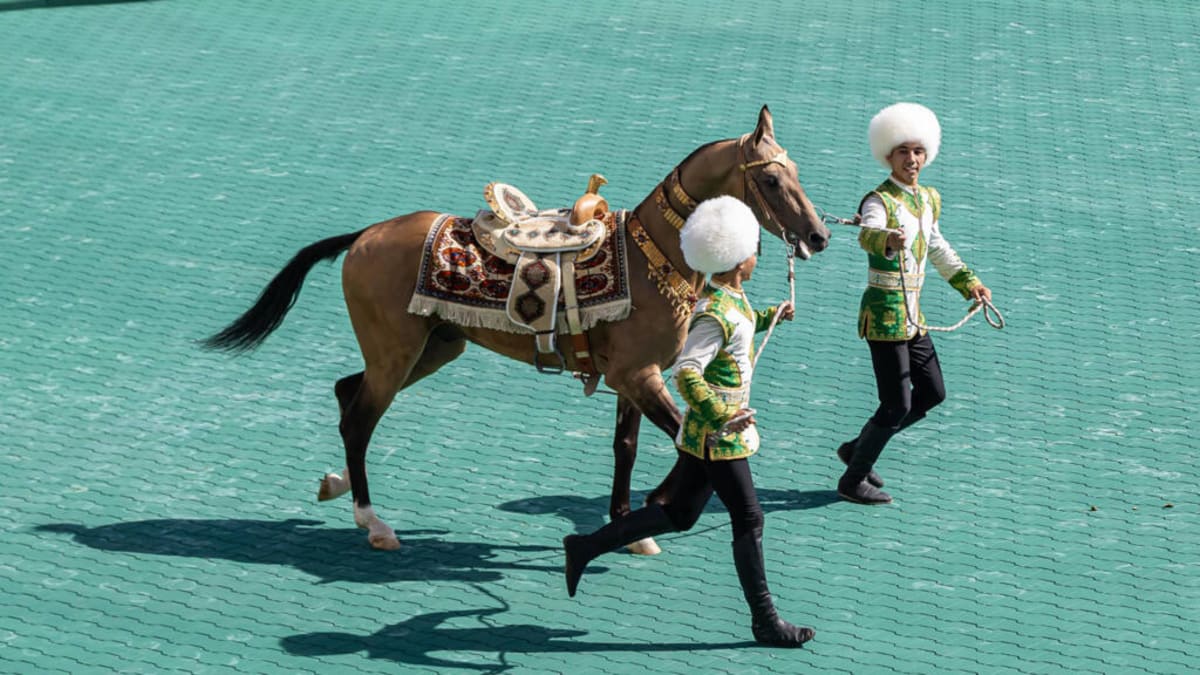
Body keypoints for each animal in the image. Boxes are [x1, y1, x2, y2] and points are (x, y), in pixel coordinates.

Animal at [203, 106, 830, 551]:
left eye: (796, 173)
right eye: (772, 182)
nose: (819, 235)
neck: (648, 256)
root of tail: (363, 236)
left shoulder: (632, 377)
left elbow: (626, 448)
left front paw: (630, 528)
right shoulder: (639, 375)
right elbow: (683, 437)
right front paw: (657, 504)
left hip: (433, 348)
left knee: (345, 393)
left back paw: (336, 486)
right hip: (396, 354)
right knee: (359, 420)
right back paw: (373, 522)